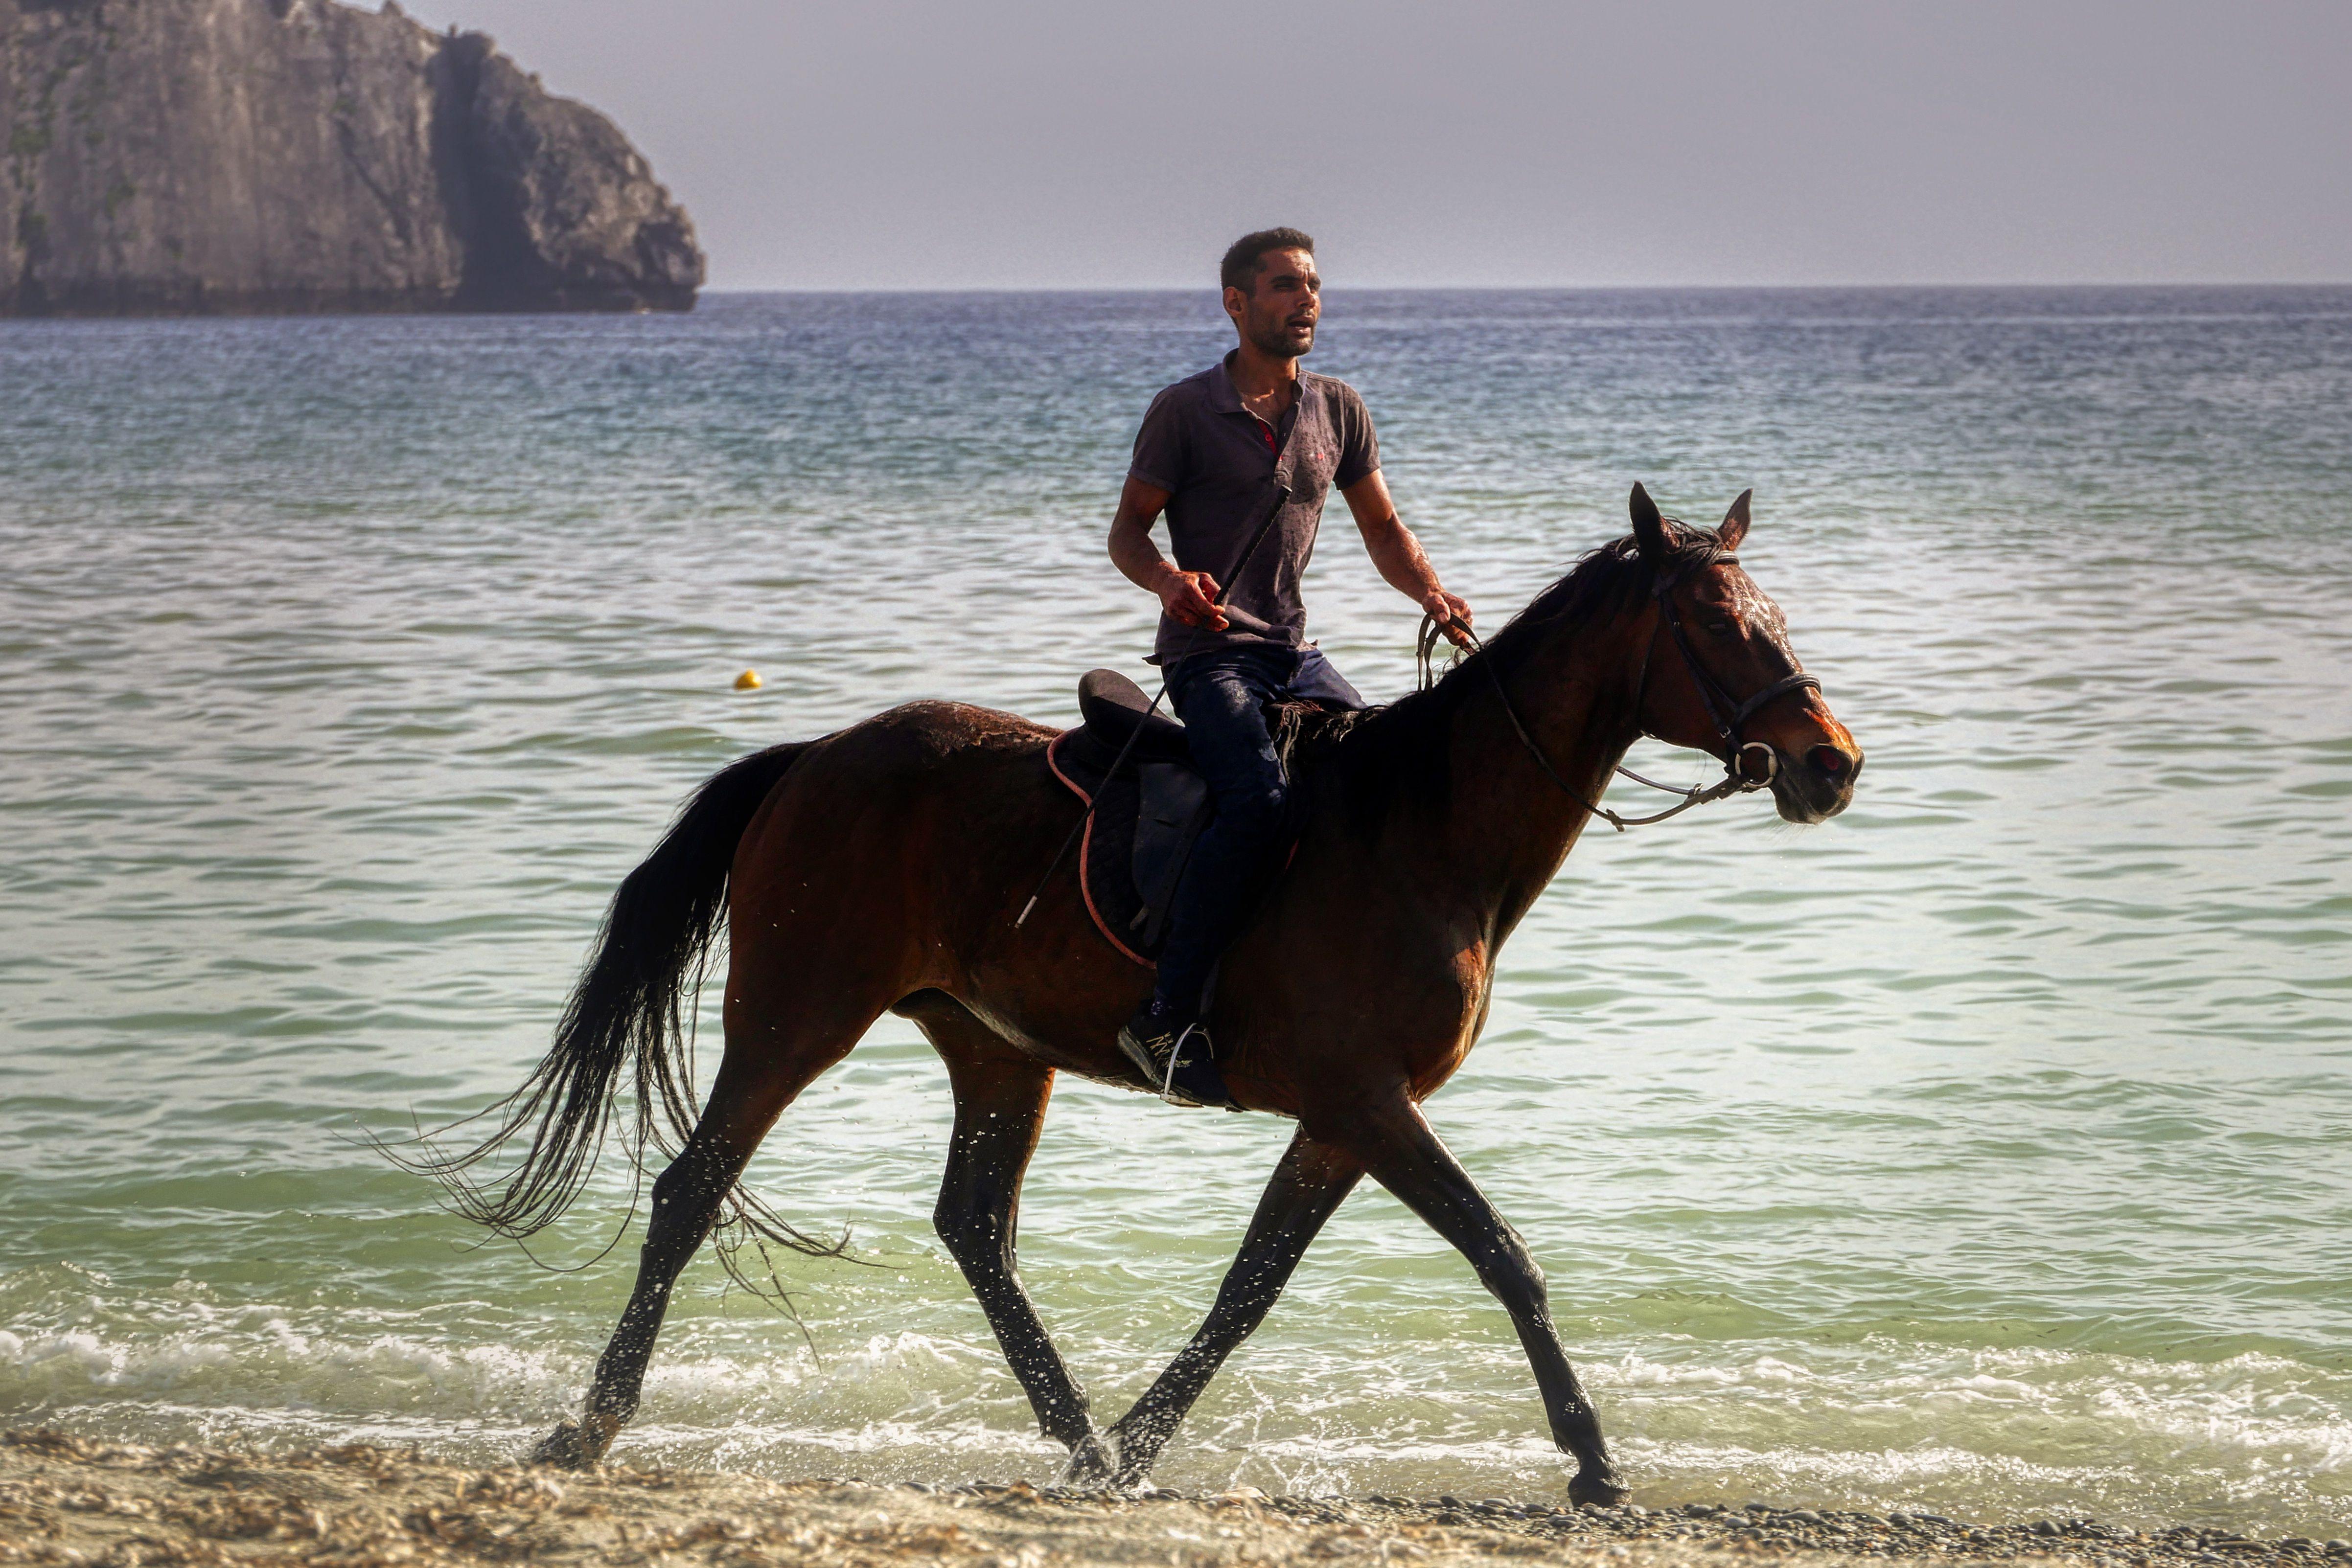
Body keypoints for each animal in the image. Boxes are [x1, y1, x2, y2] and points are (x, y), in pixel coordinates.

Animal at [399, 483, 1863, 1505]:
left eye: (1778, 618)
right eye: (1716, 622)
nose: (1830, 762)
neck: (1423, 829)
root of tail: (813, 756)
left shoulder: (1340, 1118)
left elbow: (1245, 1290)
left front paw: (1143, 1437)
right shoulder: (1364, 1100)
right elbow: (1501, 1253)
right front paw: (1594, 1460)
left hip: (996, 1049)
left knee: (973, 1228)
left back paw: (1081, 1438)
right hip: (795, 1015)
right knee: (691, 1188)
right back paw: (591, 1420)